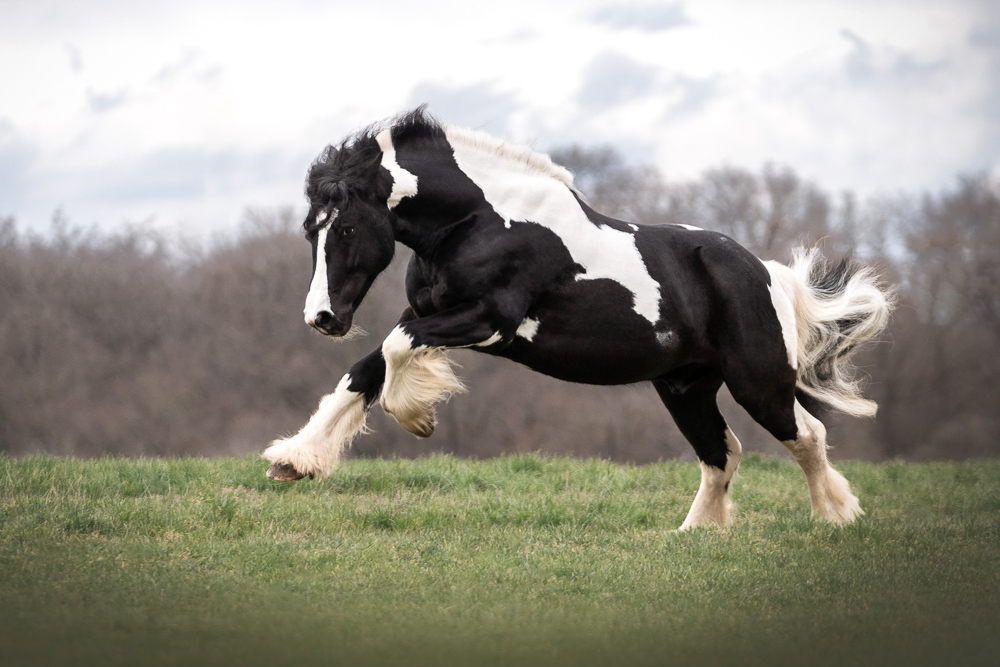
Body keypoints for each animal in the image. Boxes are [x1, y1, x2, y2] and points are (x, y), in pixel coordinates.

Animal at [262, 107, 893, 530]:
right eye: (311, 230)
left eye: (346, 228)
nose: (322, 317)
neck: (479, 221)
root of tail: (764, 272)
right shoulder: (427, 312)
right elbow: (361, 373)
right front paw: (295, 460)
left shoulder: (489, 322)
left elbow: (394, 353)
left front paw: (417, 418)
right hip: (684, 386)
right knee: (722, 452)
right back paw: (693, 534)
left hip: (756, 381)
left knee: (806, 435)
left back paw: (835, 517)